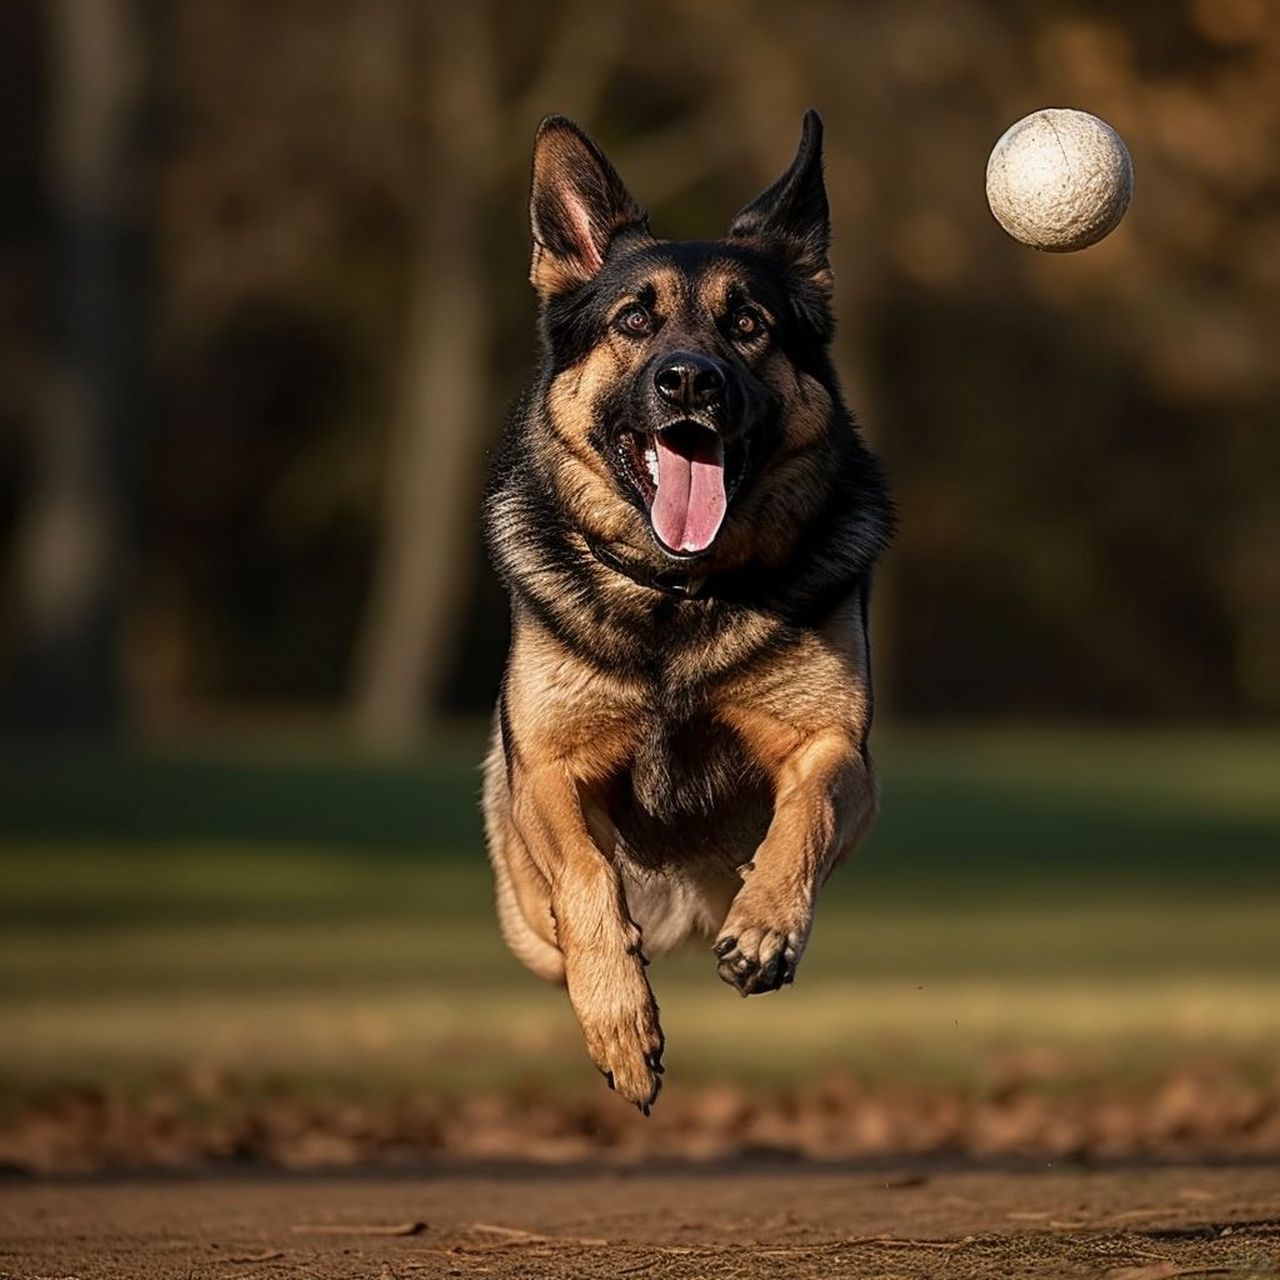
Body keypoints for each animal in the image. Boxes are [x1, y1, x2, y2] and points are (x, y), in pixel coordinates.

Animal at [481, 110, 890, 1111]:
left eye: (748, 325)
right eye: (635, 320)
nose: (689, 381)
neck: (679, 598)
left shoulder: (835, 749)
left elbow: (806, 813)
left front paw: (768, 924)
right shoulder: (545, 769)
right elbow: (585, 873)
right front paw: (620, 1019)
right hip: (521, 902)